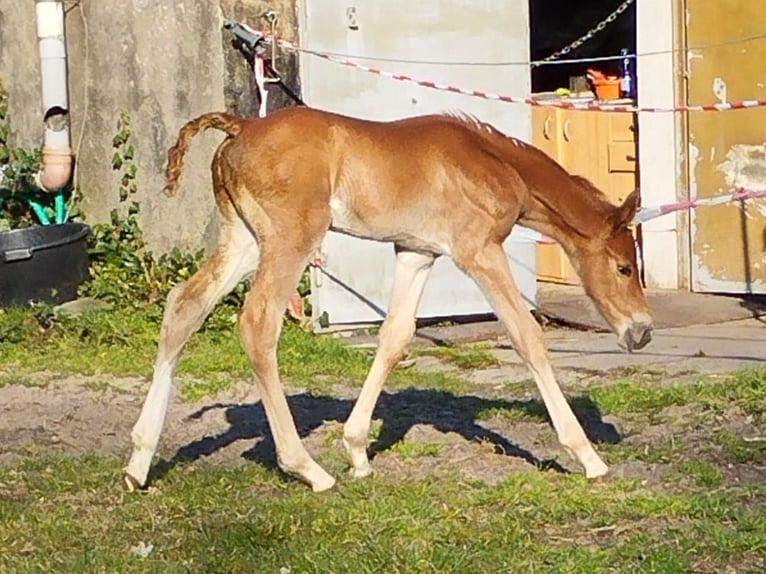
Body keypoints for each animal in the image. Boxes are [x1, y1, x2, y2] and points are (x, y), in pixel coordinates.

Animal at [123, 107, 653, 492]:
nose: (643, 332)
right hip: (291, 239)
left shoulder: (417, 252)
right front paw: (587, 455)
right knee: (258, 323)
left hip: (245, 241)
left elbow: (395, 336)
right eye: (624, 268)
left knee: (183, 306)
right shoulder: (478, 250)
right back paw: (308, 469)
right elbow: (526, 334)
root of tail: (242, 126)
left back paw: (138, 462)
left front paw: (358, 451)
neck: (490, 161)